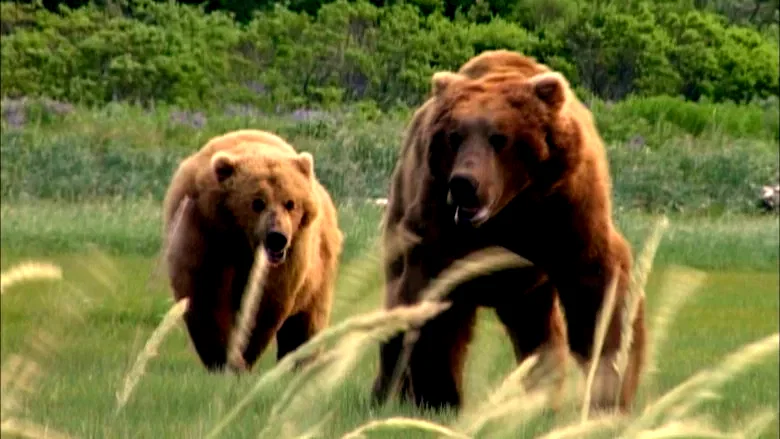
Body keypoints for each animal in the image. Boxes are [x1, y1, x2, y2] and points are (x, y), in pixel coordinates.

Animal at [162, 129, 344, 372]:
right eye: (257, 202)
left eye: (290, 203)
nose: (277, 238)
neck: (241, 241)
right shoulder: (203, 232)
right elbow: (205, 295)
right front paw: (220, 357)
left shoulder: (289, 257)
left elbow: (262, 303)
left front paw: (241, 356)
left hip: (318, 272)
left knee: (307, 322)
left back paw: (300, 362)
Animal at [372, 50, 646, 414]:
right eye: (454, 136)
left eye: (499, 137)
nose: (463, 184)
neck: (509, 212)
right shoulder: (441, 225)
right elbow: (435, 306)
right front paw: (439, 398)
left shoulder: (568, 212)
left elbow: (599, 293)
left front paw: (610, 394)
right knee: (397, 308)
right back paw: (386, 393)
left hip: (527, 284)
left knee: (538, 330)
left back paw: (540, 395)